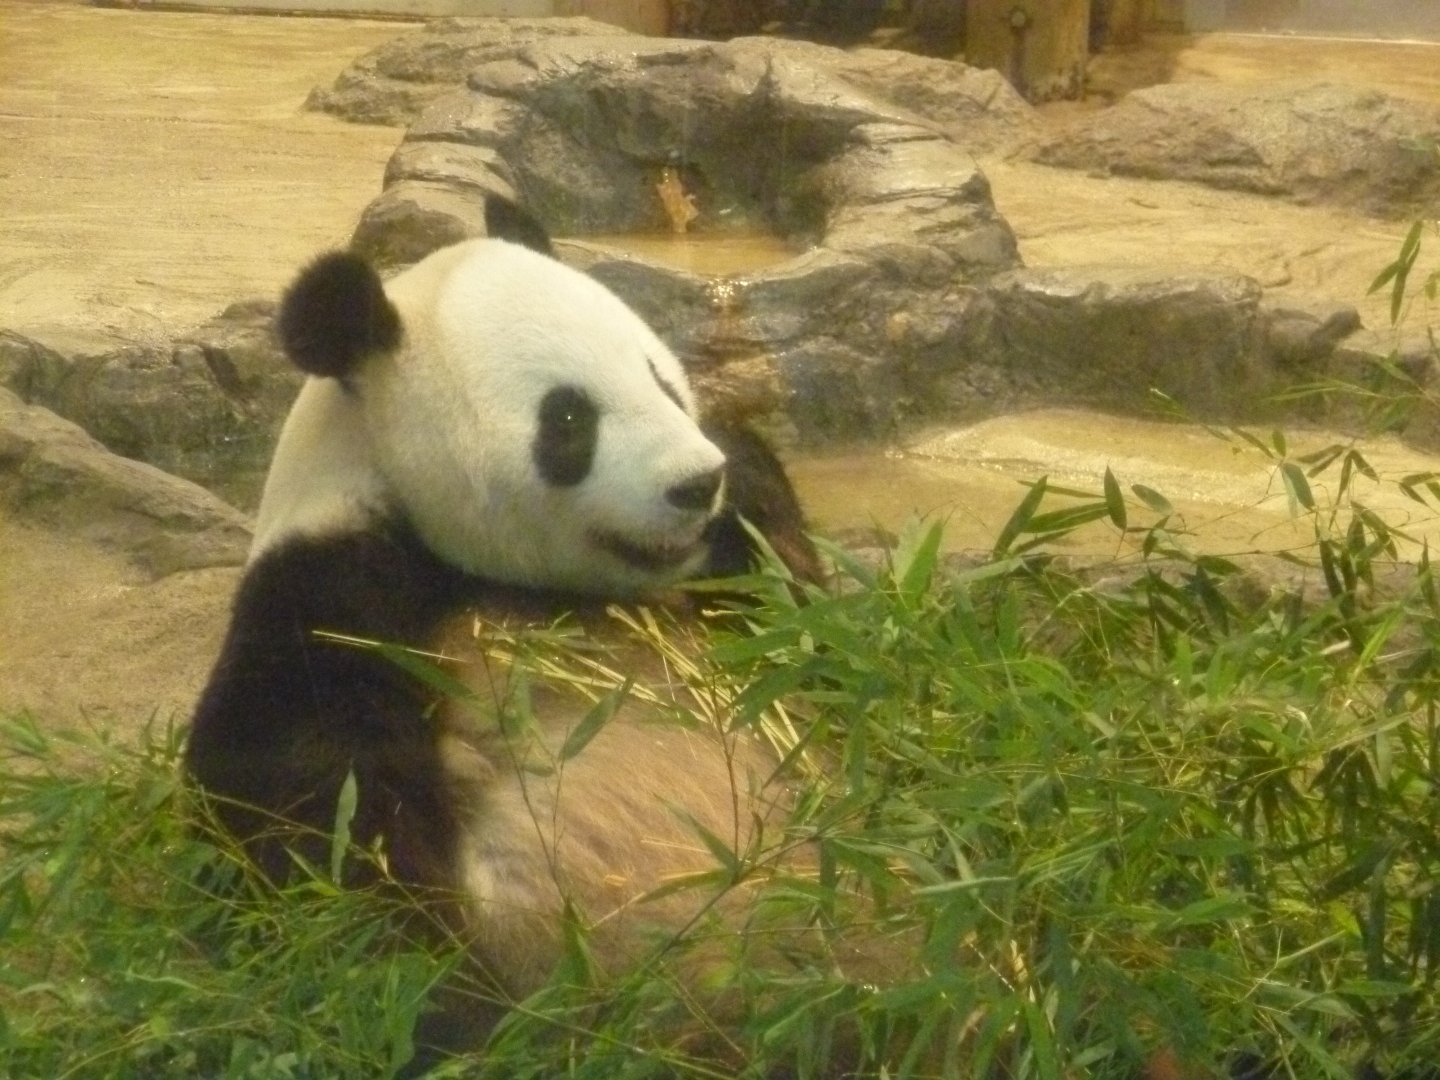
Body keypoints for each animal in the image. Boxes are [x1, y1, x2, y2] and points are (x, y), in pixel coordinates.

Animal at [184, 196, 833, 1061]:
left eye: (661, 379)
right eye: (569, 418)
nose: (697, 484)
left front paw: (745, 481)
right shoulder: (332, 602)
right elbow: (316, 826)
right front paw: (448, 1002)